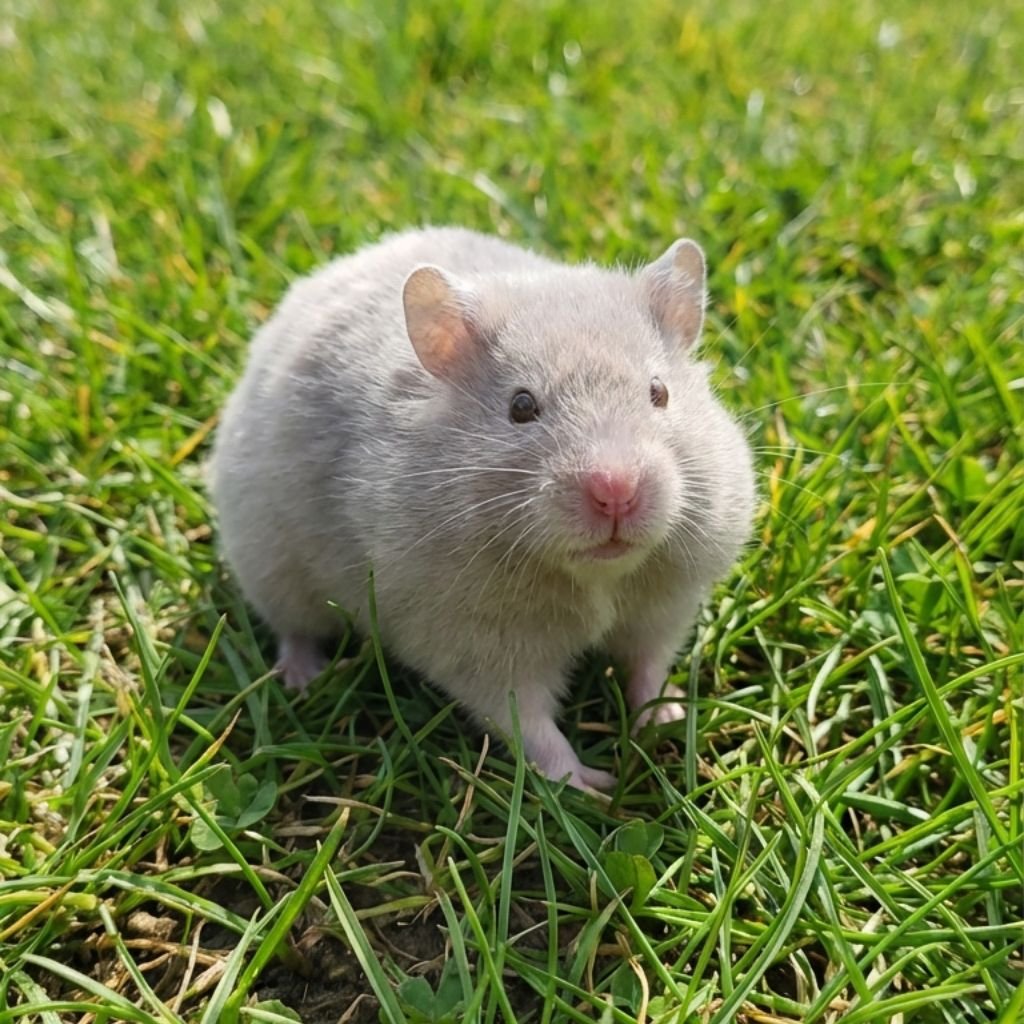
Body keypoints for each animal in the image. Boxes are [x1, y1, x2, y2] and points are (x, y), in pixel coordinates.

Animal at [210, 227, 754, 791]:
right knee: (292, 629)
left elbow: (649, 667)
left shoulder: (665, 608)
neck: (595, 576)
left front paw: (669, 720)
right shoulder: (474, 644)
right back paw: (304, 679)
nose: (616, 491)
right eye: (521, 407)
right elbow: (528, 722)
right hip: (269, 564)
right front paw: (589, 786)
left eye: (659, 393)